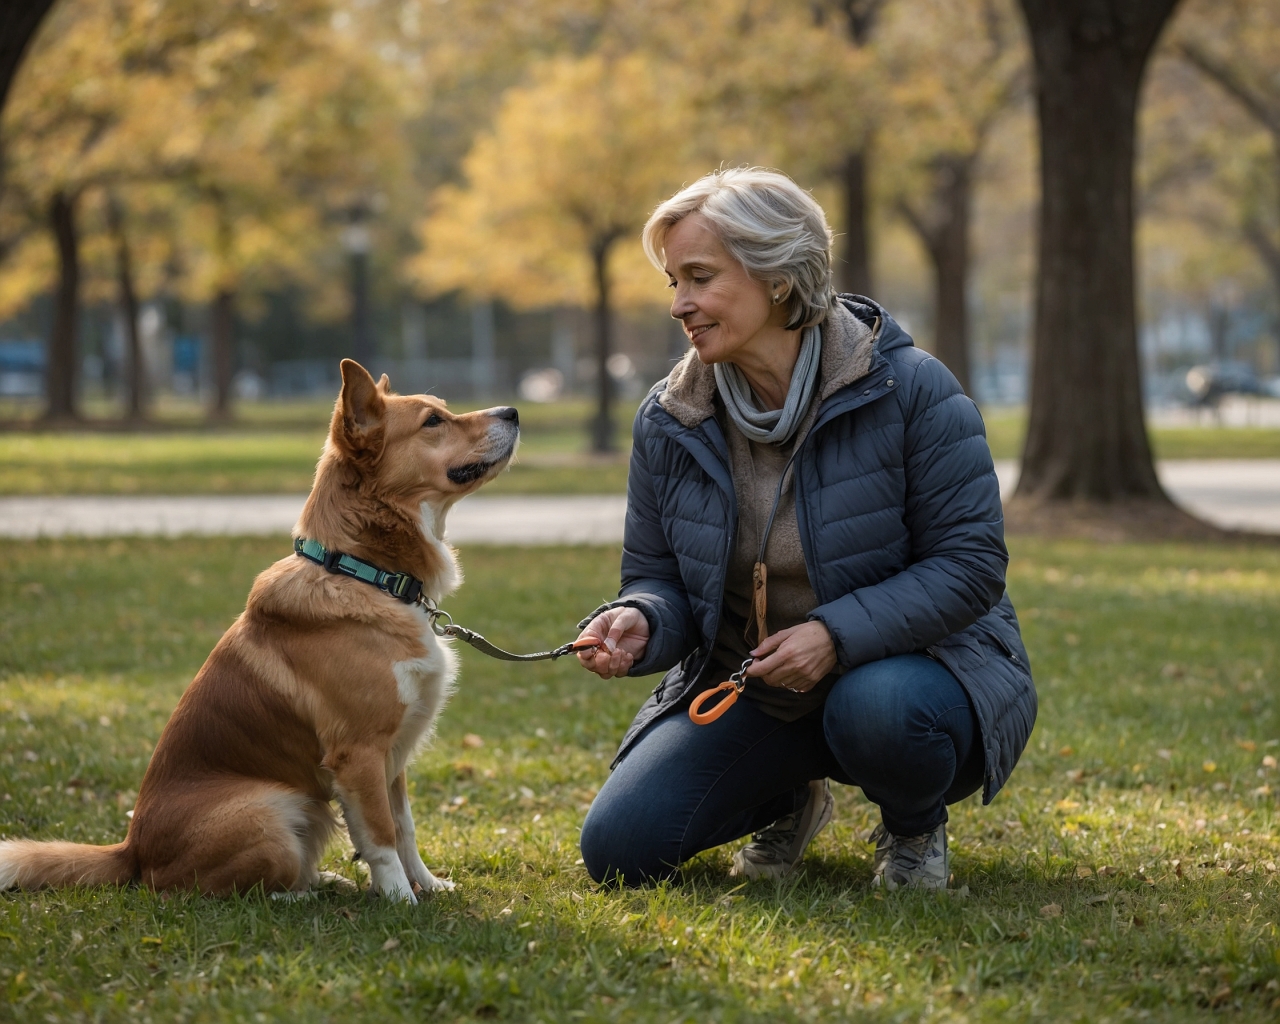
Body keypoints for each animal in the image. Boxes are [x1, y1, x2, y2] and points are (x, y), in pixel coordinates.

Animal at [1, 360, 519, 906]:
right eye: (433, 421)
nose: (513, 411)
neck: (364, 573)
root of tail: (132, 851)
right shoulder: (359, 753)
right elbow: (380, 836)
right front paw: (401, 901)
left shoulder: (394, 754)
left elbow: (405, 829)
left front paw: (429, 884)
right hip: (271, 808)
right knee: (216, 890)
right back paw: (307, 897)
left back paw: (326, 881)